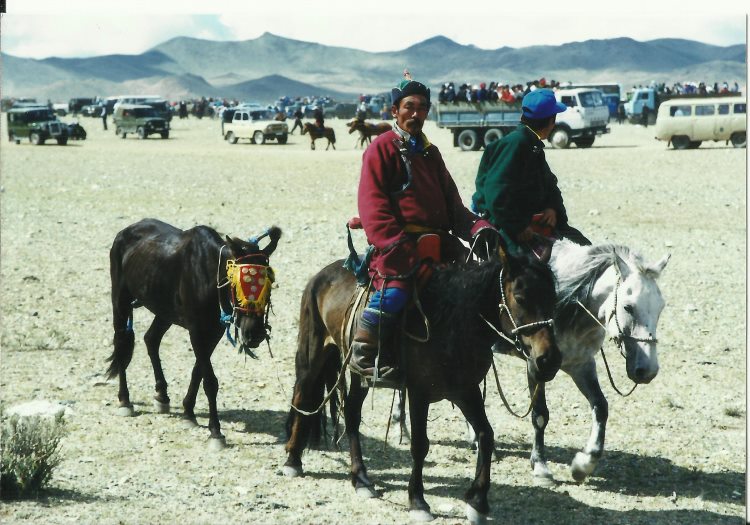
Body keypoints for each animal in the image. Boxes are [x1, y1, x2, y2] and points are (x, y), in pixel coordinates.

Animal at [107, 219, 280, 448]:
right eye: (237, 284)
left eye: (269, 283)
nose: (255, 333)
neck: (209, 276)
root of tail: (126, 231)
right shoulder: (197, 330)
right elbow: (210, 381)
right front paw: (215, 431)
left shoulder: (214, 331)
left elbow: (198, 371)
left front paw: (188, 412)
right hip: (121, 299)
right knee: (121, 343)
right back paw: (125, 400)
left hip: (164, 310)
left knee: (151, 339)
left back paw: (162, 395)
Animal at [284, 247, 560, 524]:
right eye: (520, 298)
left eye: (553, 299)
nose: (548, 360)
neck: (452, 323)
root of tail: (323, 274)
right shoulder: (419, 393)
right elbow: (420, 445)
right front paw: (417, 501)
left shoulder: (465, 390)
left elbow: (486, 436)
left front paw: (478, 502)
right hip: (313, 353)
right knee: (302, 396)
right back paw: (293, 460)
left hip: (358, 374)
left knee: (351, 414)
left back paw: (360, 478)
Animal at [520, 239, 672, 486]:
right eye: (628, 307)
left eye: (660, 307)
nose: (647, 370)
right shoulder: (536, 366)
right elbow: (540, 414)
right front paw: (541, 466)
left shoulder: (581, 364)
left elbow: (601, 407)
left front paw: (584, 464)